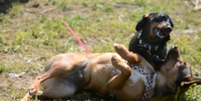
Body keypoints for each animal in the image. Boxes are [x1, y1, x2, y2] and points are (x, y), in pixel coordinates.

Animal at [21, 44, 201, 101]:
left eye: (182, 63)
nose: (175, 46)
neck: (153, 81)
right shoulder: (140, 62)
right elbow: (133, 58)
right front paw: (120, 51)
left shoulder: (113, 85)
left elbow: (126, 70)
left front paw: (118, 61)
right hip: (66, 66)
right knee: (39, 77)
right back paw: (32, 89)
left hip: (62, 91)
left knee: (37, 91)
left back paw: (31, 93)